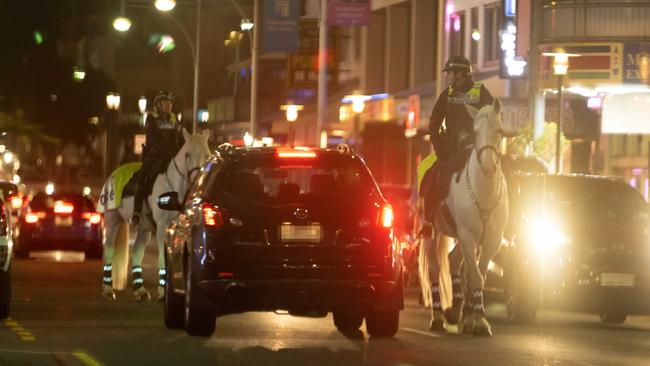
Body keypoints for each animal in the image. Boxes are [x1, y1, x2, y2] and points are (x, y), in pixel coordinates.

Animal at [100, 130, 209, 302]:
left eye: (207, 154)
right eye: (187, 154)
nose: (197, 180)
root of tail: (113, 173)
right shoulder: (163, 228)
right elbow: (163, 259)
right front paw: (163, 291)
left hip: (144, 229)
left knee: (137, 252)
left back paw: (140, 291)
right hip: (113, 220)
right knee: (109, 250)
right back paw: (107, 290)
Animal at [418, 98, 508, 336]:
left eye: (500, 132)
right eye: (475, 132)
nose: (488, 166)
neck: (483, 192)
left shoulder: (491, 241)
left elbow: (478, 275)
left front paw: (475, 318)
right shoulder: (468, 237)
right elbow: (475, 275)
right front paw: (478, 319)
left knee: (453, 261)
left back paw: (456, 310)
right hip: (431, 232)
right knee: (434, 271)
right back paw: (438, 317)